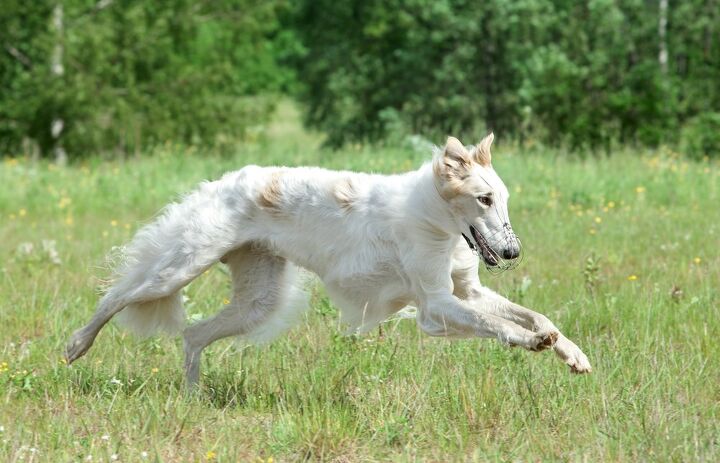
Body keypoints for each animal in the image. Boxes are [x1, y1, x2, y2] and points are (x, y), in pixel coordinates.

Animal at [63, 135, 592, 392]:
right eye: (483, 199)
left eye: (502, 198)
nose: (513, 253)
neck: (433, 216)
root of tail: (224, 180)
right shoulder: (436, 305)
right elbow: (503, 326)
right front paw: (531, 342)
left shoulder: (467, 292)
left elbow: (539, 316)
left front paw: (571, 353)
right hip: (179, 267)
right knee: (116, 296)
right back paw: (75, 345)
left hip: (259, 300)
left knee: (192, 335)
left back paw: (193, 397)